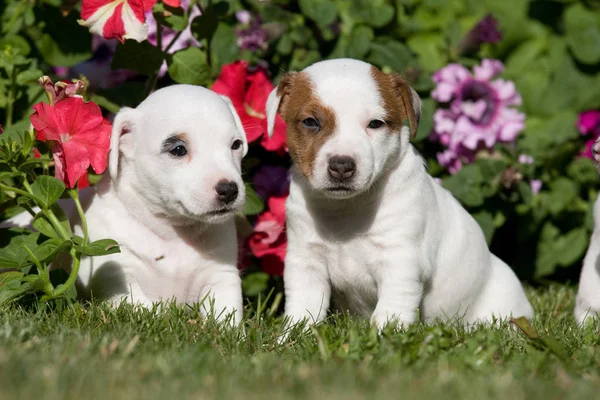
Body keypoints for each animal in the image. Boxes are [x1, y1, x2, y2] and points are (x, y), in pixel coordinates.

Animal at [3, 86, 246, 324]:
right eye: (178, 149)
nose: (229, 190)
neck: (172, 231)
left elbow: (227, 314)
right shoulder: (115, 273)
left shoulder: (221, 275)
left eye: (236, 145)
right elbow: (144, 308)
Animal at [264, 57, 532, 330]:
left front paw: (385, 335)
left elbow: (391, 308)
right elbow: (303, 307)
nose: (342, 165)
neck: (347, 209)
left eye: (375, 123)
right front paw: (292, 334)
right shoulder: (305, 261)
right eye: (310, 122)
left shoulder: (401, 261)